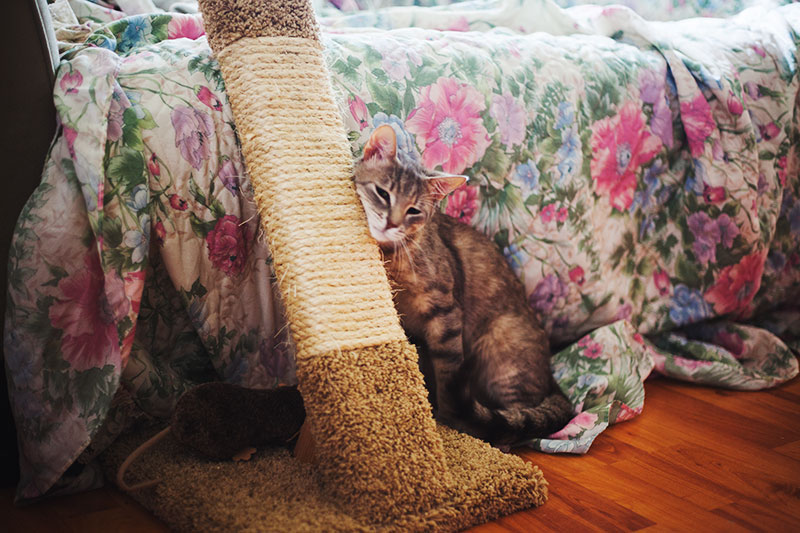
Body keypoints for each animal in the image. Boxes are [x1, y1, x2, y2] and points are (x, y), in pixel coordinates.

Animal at [354, 124, 572, 444]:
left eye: (413, 211)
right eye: (383, 193)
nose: (391, 224)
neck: (394, 256)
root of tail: (552, 378)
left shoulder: (446, 313)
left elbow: (448, 374)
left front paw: (446, 421)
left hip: (504, 353)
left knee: (514, 423)